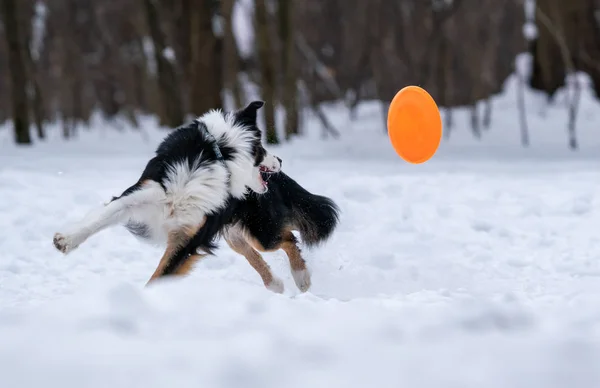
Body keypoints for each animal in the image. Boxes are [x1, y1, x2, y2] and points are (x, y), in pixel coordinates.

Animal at [52, 100, 282, 284]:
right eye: (263, 147)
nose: (280, 159)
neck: (222, 154)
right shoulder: (142, 193)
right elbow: (102, 216)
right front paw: (67, 240)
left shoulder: (189, 236)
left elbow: (161, 275)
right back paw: (277, 284)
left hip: (262, 234)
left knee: (283, 241)